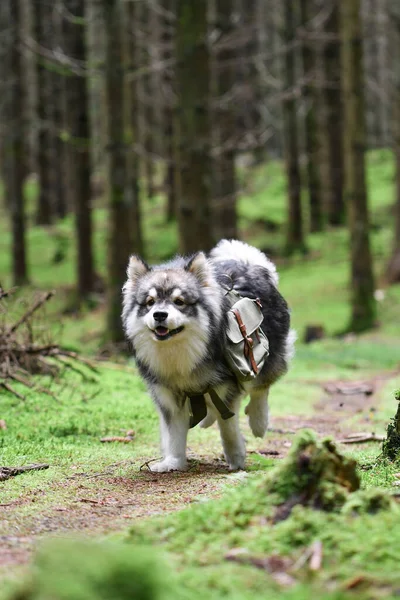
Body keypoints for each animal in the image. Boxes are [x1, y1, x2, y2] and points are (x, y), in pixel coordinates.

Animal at [122, 239, 294, 474]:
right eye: (150, 302)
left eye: (179, 301)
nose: (159, 315)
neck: (178, 353)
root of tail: (246, 262)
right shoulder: (169, 396)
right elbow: (174, 434)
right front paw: (173, 462)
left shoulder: (227, 388)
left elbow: (228, 428)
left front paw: (236, 458)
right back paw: (206, 419)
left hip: (264, 357)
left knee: (261, 387)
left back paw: (258, 422)